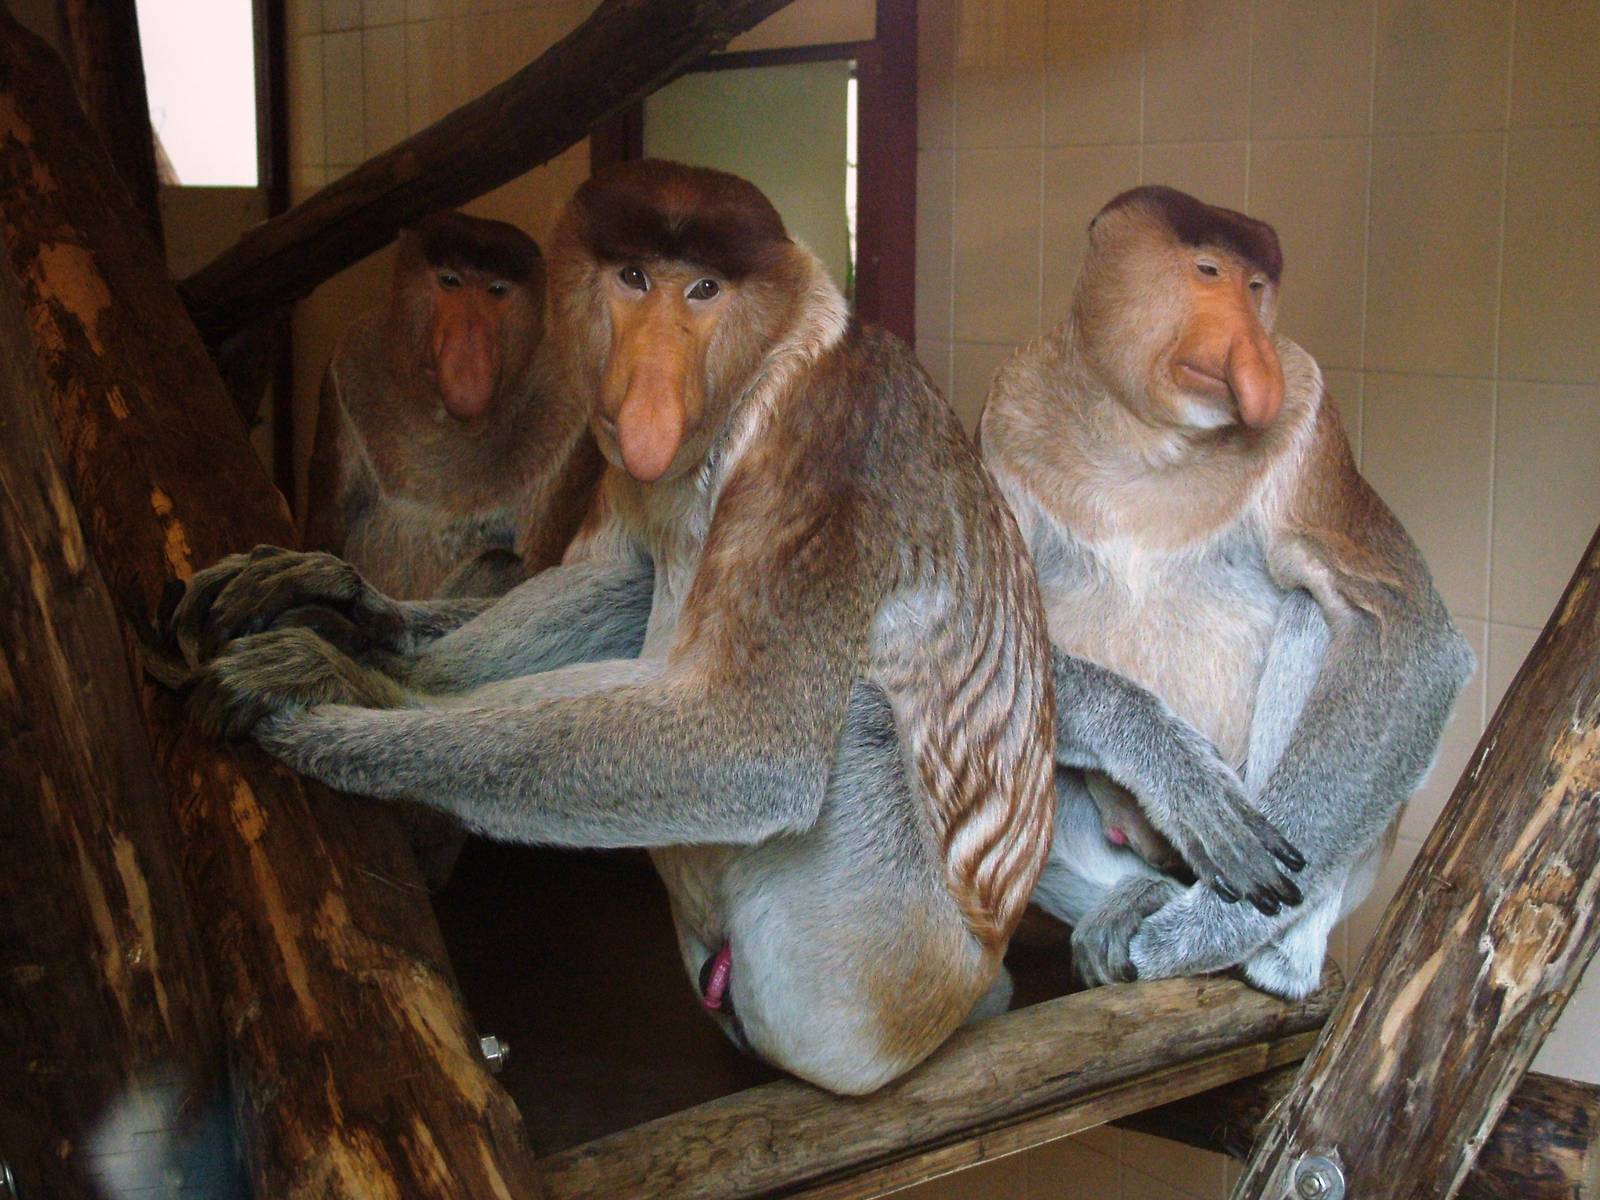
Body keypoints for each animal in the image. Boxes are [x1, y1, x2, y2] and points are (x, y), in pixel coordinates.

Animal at [303, 210, 602, 600]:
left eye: (496, 290)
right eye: (450, 281)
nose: (469, 342)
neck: (447, 419)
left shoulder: (571, 405)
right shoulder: (349, 360)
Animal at [980, 184, 1475, 999]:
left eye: (1256, 286)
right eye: (1207, 271)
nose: (1251, 352)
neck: (1144, 435)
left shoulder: (1308, 413)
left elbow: (1407, 636)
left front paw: (1200, 935)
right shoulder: (1005, 414)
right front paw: (1186, 783)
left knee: (1321, 616)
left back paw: (1266, 951)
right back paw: (1131, 894)